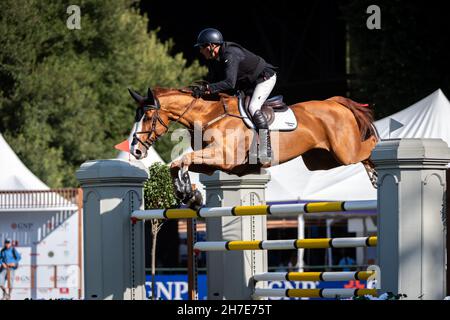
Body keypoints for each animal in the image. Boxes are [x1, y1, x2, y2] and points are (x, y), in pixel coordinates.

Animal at [128, 87, 378, 208]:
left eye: (147, 116)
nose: (135, 151)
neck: (209, 116)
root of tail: (334, 102)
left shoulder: (223, 157)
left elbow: (183, 160)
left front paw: (189, 193)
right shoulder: (214, 163)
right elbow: (176, 163)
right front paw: (188, 195)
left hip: (345, 152)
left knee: (369, 147)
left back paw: (376, 170)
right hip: (321, 161)